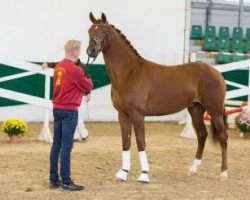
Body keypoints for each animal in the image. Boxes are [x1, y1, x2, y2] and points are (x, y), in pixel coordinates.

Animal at [86, 11, 229, 182]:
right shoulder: (123, 115)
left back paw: (223, 173)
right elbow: (126, 142)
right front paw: (123, 173)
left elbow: (141, 143)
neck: (129, 73)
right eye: (89, 31)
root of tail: (216, 72)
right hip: (196, 110)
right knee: (202, 135)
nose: (91, 51)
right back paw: (193, 169)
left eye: (103, 31)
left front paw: (144, 175)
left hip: (215, 111)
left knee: (223, 137)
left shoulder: (137, 115)